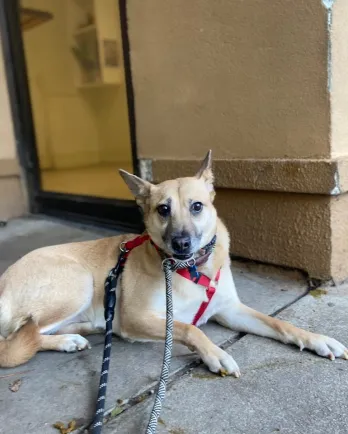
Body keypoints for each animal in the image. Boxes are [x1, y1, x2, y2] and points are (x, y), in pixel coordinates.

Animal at [0, 151, 346, 374]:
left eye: (197, 206)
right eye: (162, 210)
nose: (181, 243)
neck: (192, 269)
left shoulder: (230, 310)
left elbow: (279, 324)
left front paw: (318, 340)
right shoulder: (138, 318)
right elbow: (190, 329)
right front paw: (216, 354)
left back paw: (75, 335)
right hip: (78, 282)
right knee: (11, 343)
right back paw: (66, 339)